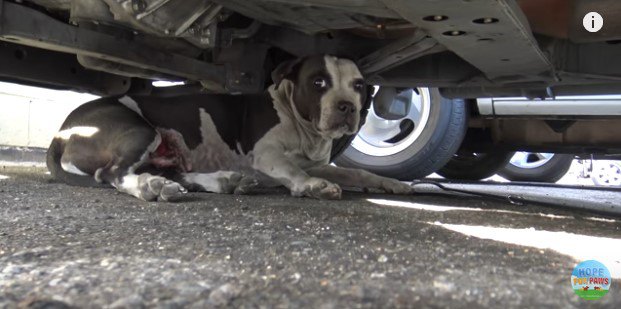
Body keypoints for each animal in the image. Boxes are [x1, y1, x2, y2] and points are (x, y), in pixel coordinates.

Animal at [47, 55, 412, 200]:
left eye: (359, 85)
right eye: (318, 82)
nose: (348, 107)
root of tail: (61, 133)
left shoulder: (317, 162)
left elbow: (356, 172)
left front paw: (389, 183)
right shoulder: (267, 155)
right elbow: (294, 171)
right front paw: (313, 186)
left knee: (173, 174)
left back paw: (222, 181)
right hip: (140, 131)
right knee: (112, 173)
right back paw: (149, 186)